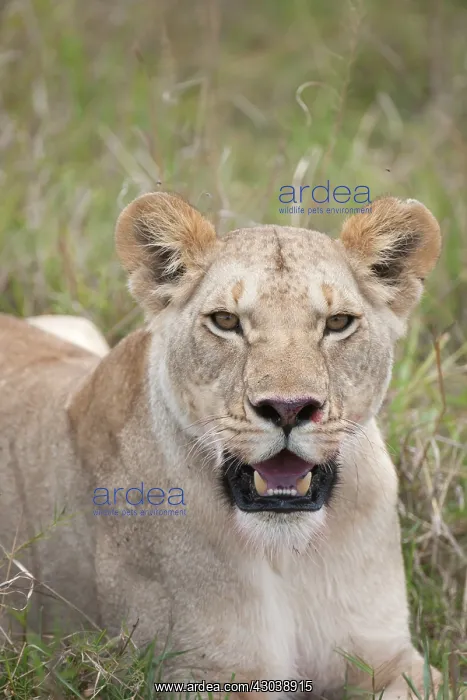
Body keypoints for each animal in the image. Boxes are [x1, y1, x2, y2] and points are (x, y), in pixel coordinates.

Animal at [0, 193, 442, 699]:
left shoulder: (393, 658)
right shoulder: (202, 675)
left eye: (338, 323)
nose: (288, 408)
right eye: (226, 321)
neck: (287, 556)